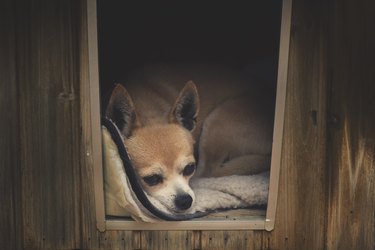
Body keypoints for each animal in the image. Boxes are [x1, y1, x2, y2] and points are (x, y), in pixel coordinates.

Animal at [104, 63, 274, 214]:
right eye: (152, 179)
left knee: (208, 171)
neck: (147, 110)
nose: (185, 200)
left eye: (189, 168)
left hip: (215, 123)